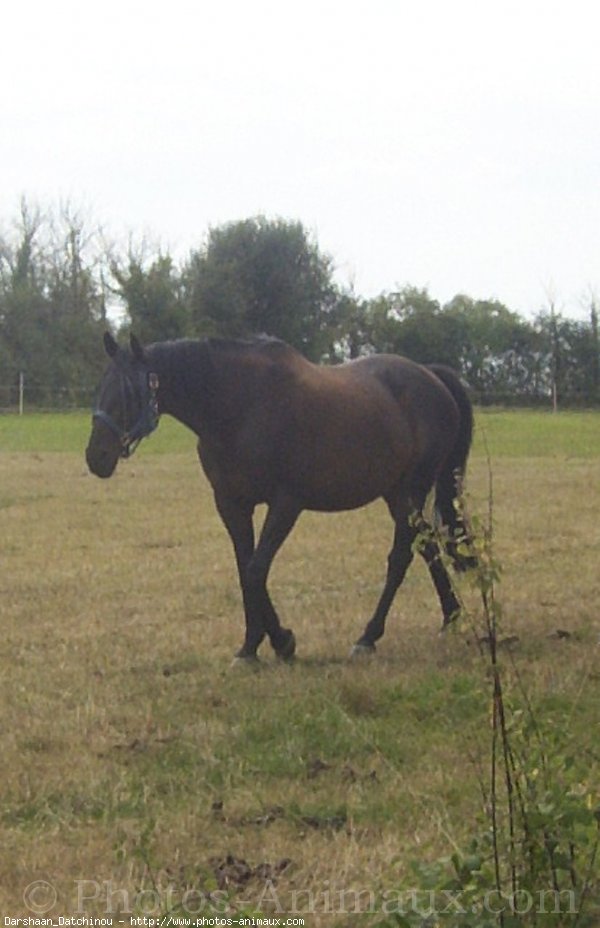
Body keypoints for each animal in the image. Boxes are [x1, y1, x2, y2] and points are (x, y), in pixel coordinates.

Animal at [86, 332, 476, 660]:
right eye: (101, 385)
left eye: (129, 392)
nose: (96, 457)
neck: (241, 408)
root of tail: (431, 375)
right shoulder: (231, 505)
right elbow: (245, 570)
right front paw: (251, 646)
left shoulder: (286, 503)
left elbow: (256, 569)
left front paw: (282, 640)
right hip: (396, 493)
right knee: (426, 546)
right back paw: (450, 617)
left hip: (412, 488)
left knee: (402, 556)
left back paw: (369, 636)